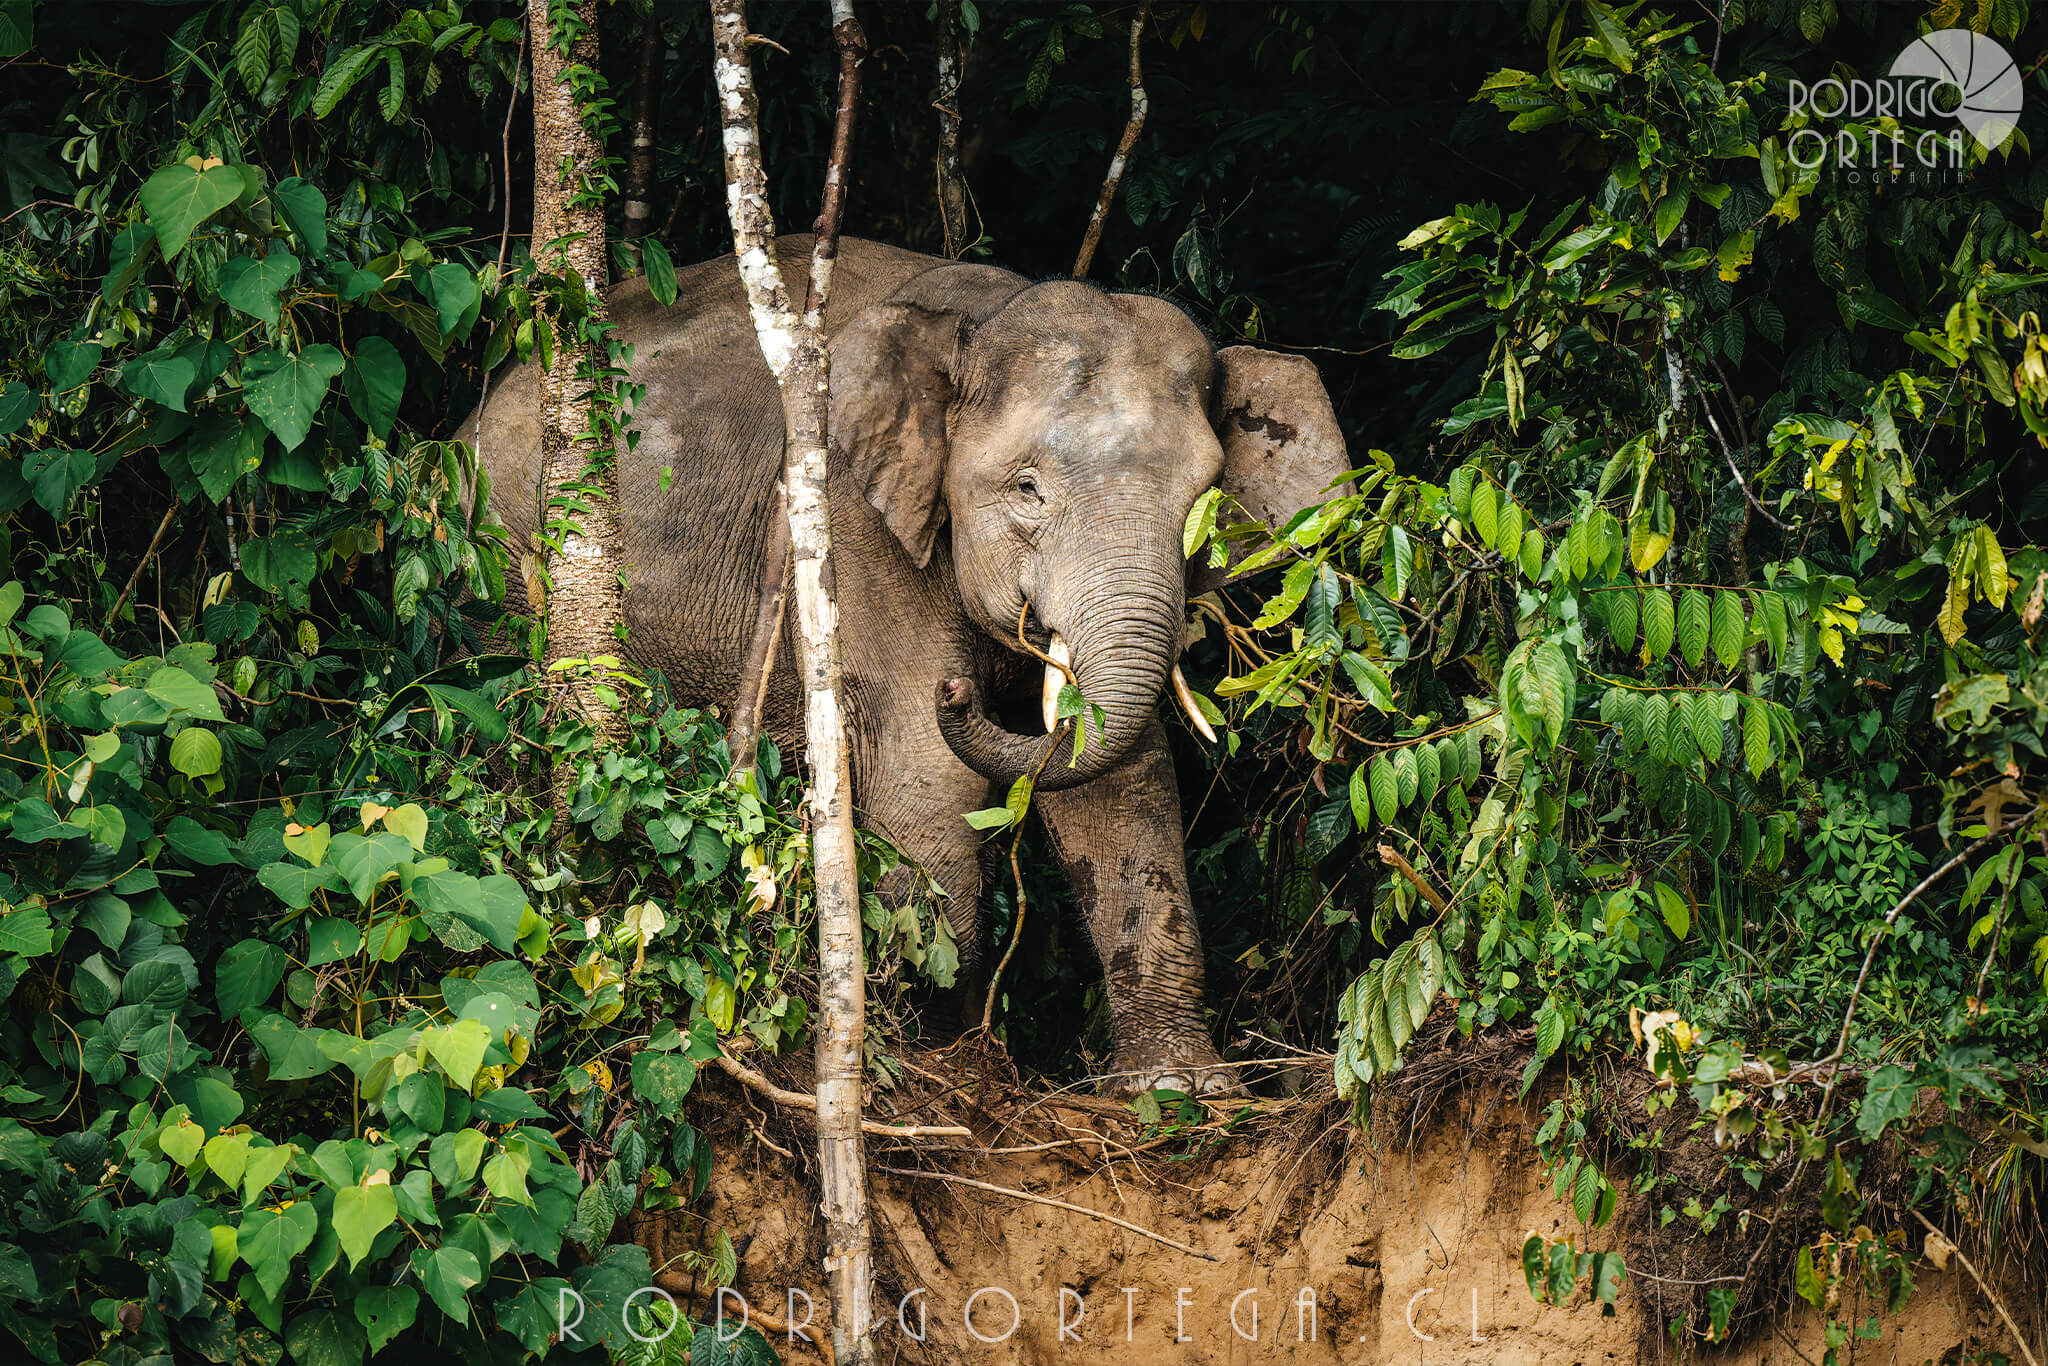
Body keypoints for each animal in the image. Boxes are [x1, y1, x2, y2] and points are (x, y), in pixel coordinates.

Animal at [470, 236, 1348, 1094]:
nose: (957, 692)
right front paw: (939, 1067)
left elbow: (1121, 783)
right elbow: (926, 773)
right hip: (503, 561)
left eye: (1207, 497)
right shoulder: (847, 523)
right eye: (1027, 489)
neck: (981, 320)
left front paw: (1180, 1088)